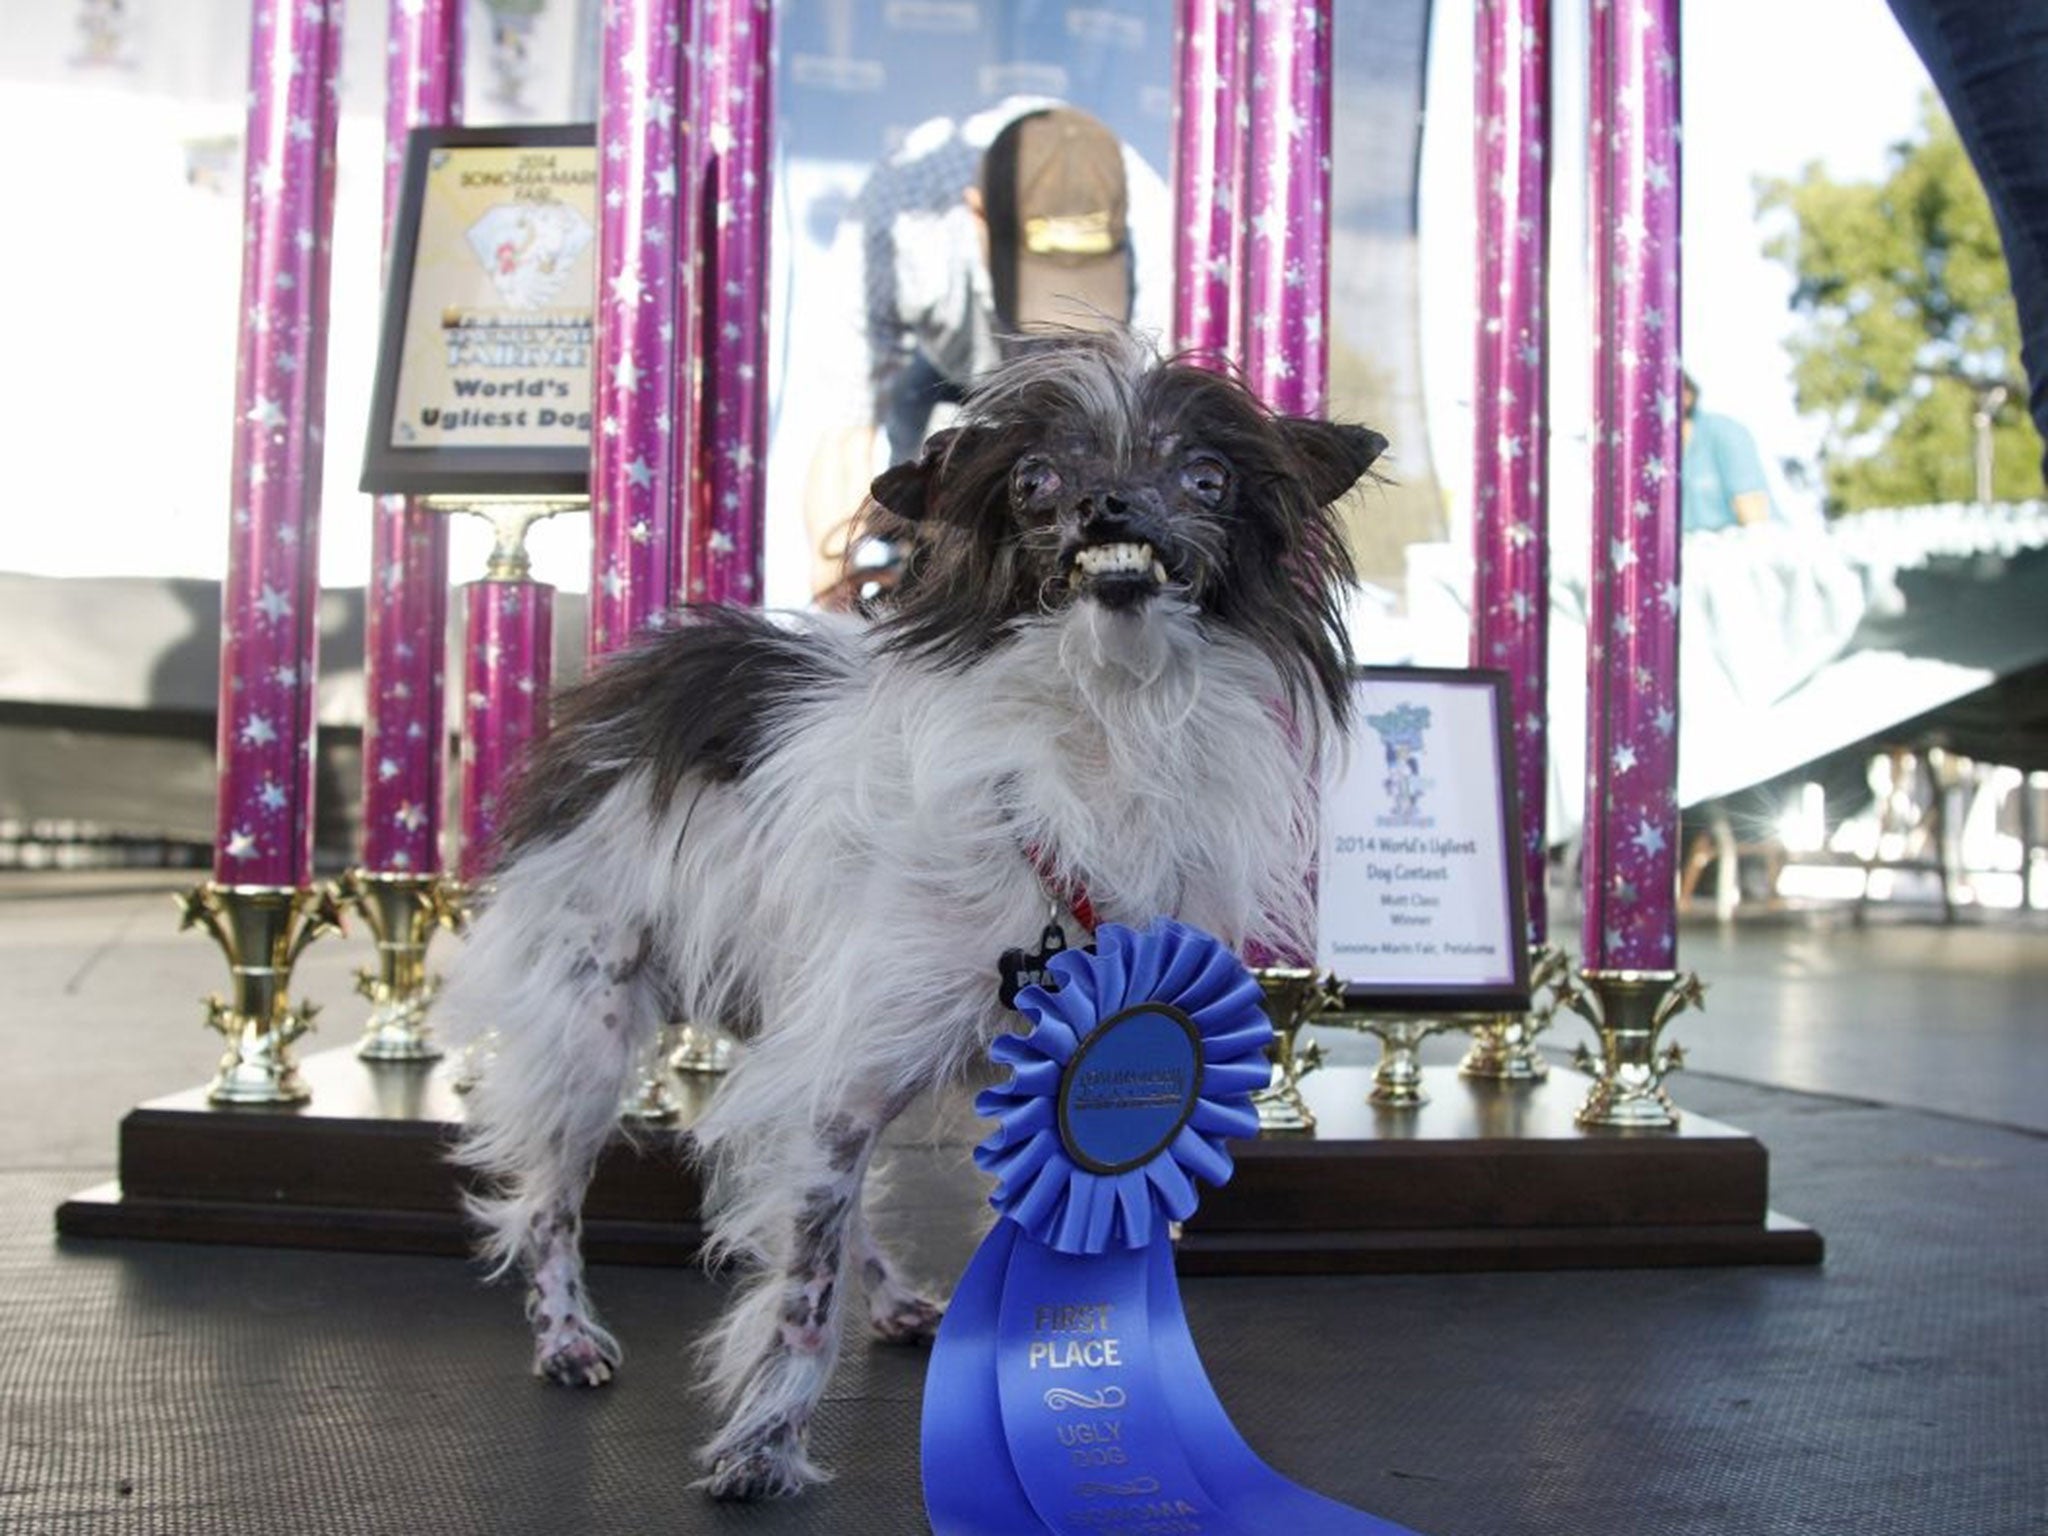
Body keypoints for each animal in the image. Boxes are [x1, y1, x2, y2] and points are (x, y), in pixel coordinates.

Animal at [444, 331, 1376, 1499]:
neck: (1101, 728)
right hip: (591, 1029)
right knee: (549, 1199)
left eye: (1206, 478)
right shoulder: (834, 1082)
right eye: (1034, 482)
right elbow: (798, 1294)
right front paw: (762, 1446)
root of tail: (630, 684)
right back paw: (566, 1333)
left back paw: (887, 1299)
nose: (1108, 505)